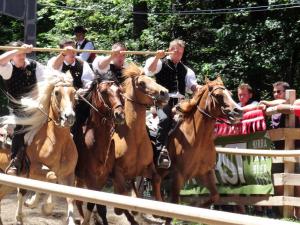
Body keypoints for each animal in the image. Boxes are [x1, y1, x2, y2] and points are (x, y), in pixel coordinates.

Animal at [0, 72, 78, 225]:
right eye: (57, 92)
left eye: (74, 92)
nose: (69, 117)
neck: (58, 142)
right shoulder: (34, 169)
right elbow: (51, 178)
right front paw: (37, 204)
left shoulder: (68, 174)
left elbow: (69, 197)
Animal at [74, 74, 125, 224]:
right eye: (104, 92)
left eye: (120, 91)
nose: (120, 114)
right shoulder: (90, 178)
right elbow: (93, 204)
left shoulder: (102, 178)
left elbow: (100, 207)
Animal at [112, 63, 170, 225]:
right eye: (142, 83)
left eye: (153, 79)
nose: (165, 93)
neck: (134, 138)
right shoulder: (118, 172)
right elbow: (121, 193)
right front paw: (122, 210)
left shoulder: (146, 168)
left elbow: (156, 179)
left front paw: (159, 209)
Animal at [152, 76, 244, 224]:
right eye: (218, 95)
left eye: (230, 93)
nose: (238, 111)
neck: (197, 139)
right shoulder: (178, 175)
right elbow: (174, 204)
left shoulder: (205, 173)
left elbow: (215, 196)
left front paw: (195, 209)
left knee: (155, 182)